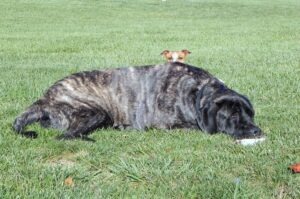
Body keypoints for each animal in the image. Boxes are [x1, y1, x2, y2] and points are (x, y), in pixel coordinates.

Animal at [13, 63, 262, 141]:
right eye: (233, 115)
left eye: (250, 113)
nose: (256, 131)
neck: (197, 91)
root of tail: (44, 98)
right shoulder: (166, 125)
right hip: (95, 112)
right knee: (65, 136)